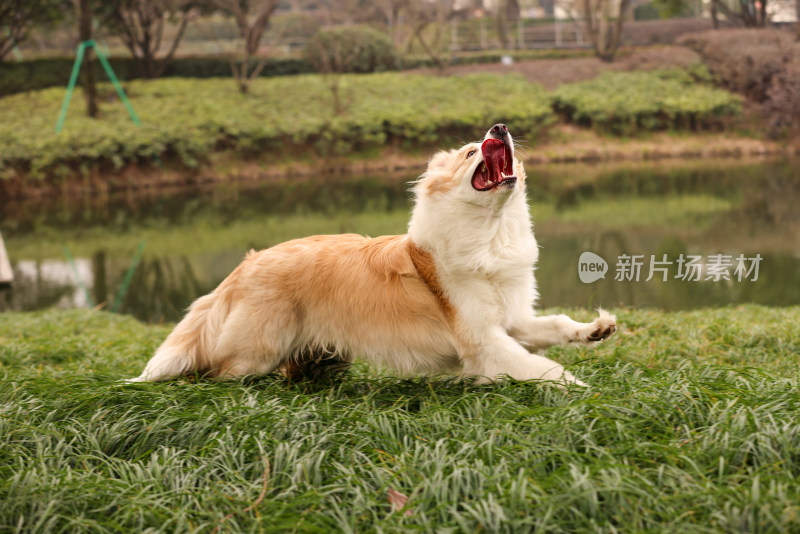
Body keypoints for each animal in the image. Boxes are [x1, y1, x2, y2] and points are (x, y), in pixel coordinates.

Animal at [130, 124, 620, 388]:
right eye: (469, 152)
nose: (499, 128)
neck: (491, 230)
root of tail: (246, 264)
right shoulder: (483, 340)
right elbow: (541, 366)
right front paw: (580, 390)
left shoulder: (510, 320)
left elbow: (553, 326)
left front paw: (593, 330)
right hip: (255, 351)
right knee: (215, 371)